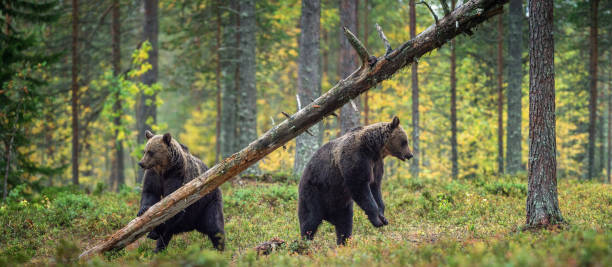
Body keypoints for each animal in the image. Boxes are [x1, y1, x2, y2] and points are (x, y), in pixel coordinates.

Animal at [298, 116, 414, 246]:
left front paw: (383, 216)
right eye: (405, 141)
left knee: (345, 223)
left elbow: (375, 187)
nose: (410, 154)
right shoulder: (356, 158)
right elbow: (360, 186)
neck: (373, 149)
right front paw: (377, 220)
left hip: (341, 204)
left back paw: (343, 242)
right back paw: (305, 242)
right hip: (315, 190)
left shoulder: (376, 164)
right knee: (310, 218)